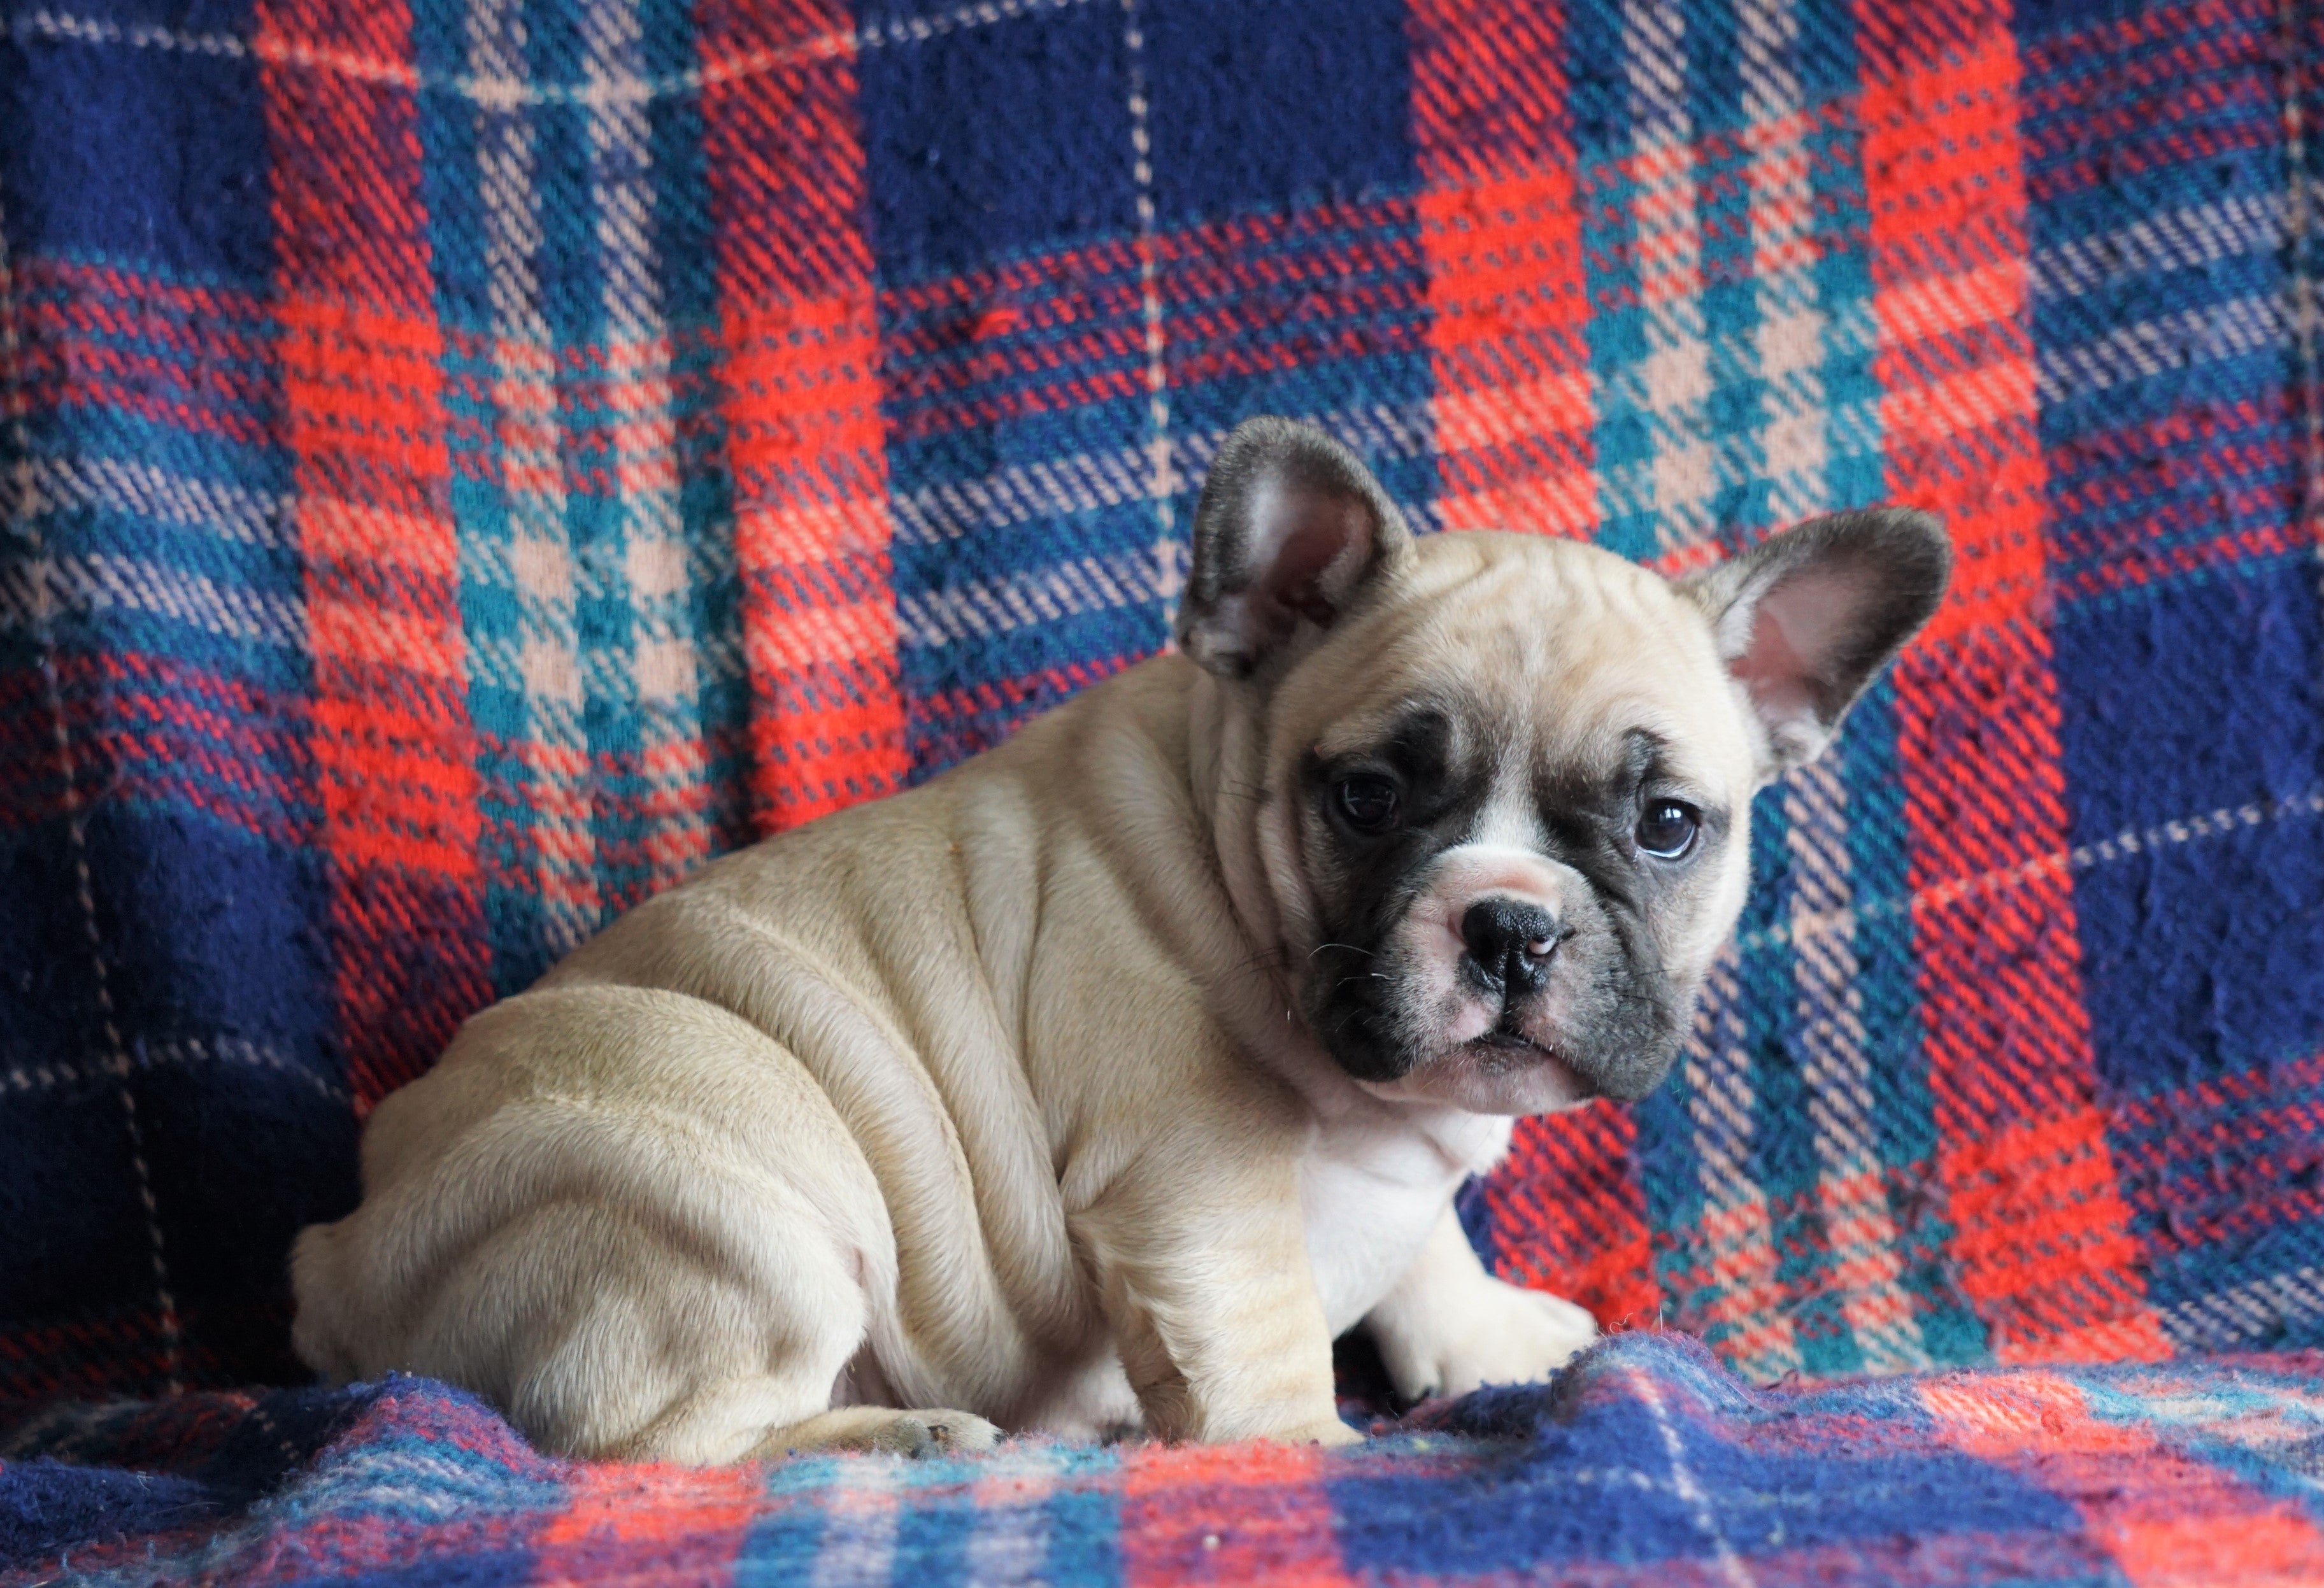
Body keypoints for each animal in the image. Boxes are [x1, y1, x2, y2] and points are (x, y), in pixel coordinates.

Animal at [299, 413, 1952, 1469]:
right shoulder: (1190, 1183)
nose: (1507, 921)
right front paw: (1300, 1451)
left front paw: (1481, 1331)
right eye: (1367, 798)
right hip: (724, 1189)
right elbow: (1259, 1327)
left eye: (1667, 824)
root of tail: (340, 1255)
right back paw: (891, 1437)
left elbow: (1426, 1237)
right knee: (643, 1446)